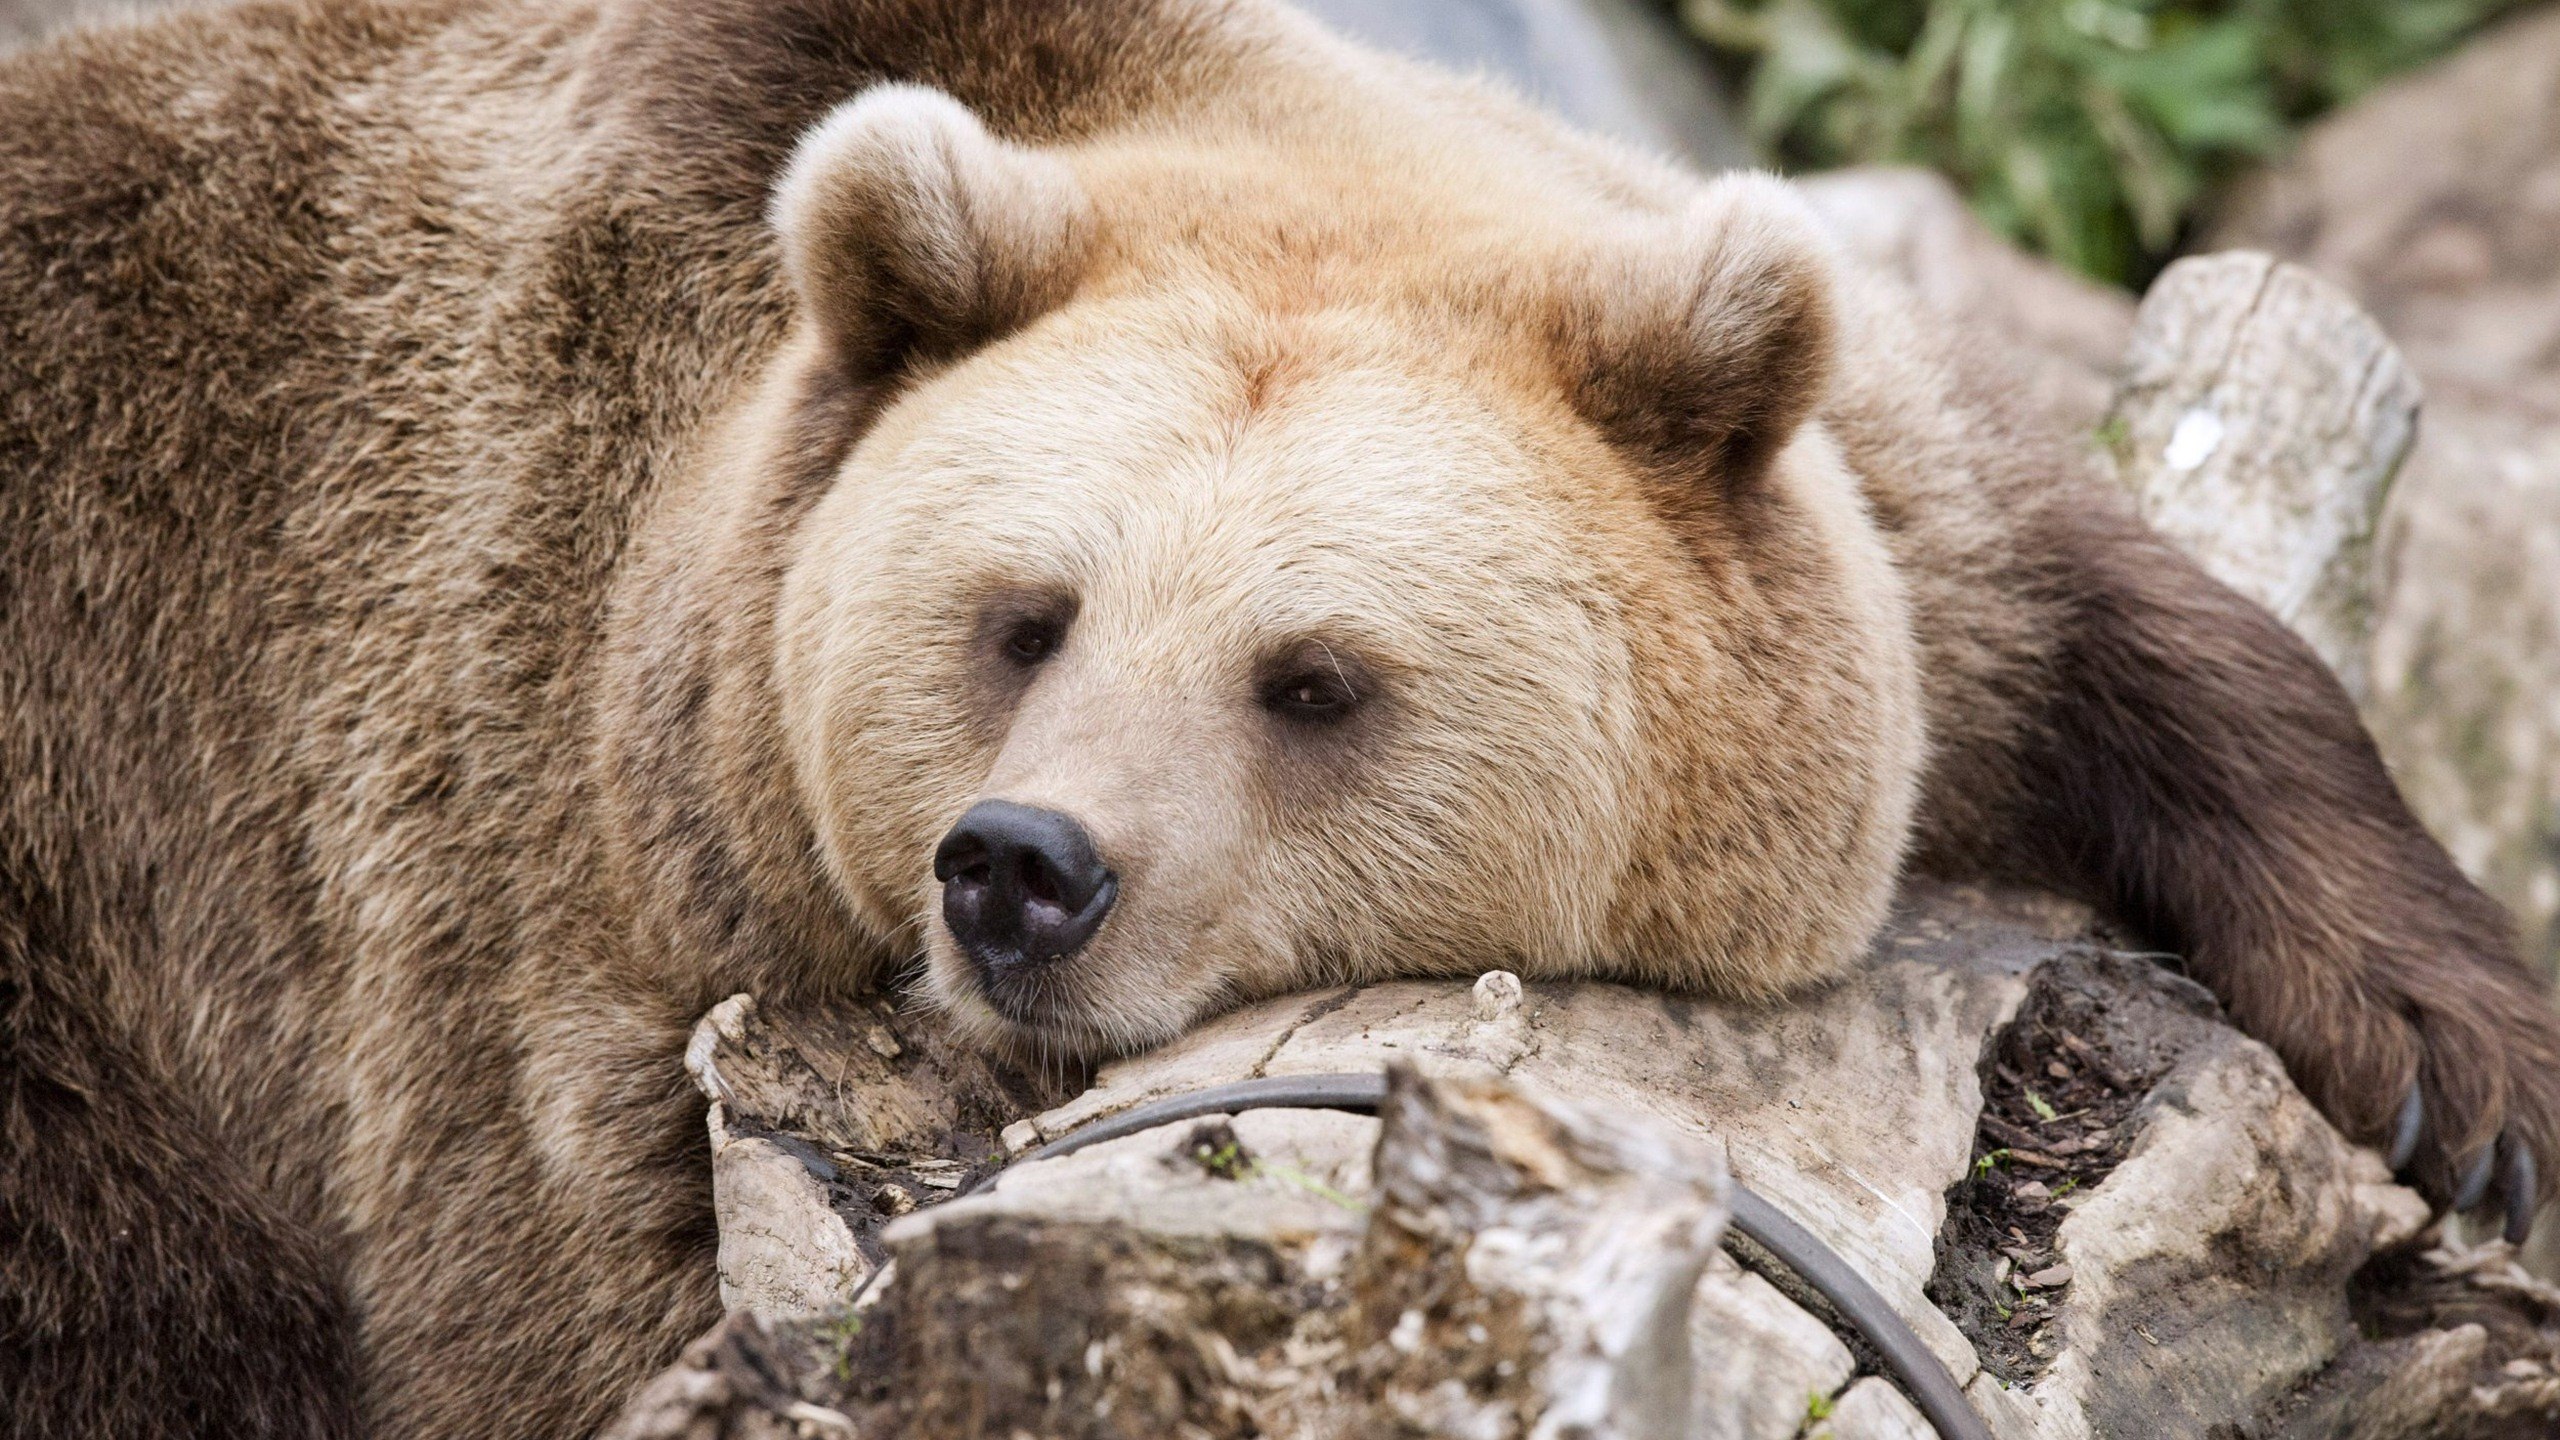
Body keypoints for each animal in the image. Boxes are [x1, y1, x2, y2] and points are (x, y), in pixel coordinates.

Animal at [2, 0, 2554, 1436]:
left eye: (1311, 676)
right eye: (1021, 615)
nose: (1019, 868)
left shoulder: (1885, 532)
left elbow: (2139, 631)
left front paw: (2467, 1070)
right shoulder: (523, 864)